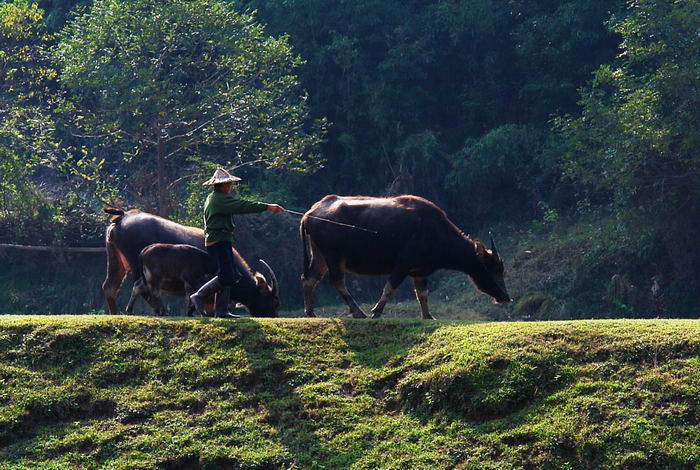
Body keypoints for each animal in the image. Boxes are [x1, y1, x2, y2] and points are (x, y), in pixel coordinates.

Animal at [104, 208, 278, 316]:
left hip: (115, 261)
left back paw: (116, 313)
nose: (273, 315)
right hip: (138, 266)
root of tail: (123, 216)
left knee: (110, 288)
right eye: (273, 299)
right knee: (143, 288)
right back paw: (158, 310)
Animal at [298, 195, 512, 320]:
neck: (434, 231)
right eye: (493, 268)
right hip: (333, 257)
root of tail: (310, 213)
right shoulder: (402, 265)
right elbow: (389, 288)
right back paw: (358, 312)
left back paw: (310, 312)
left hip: (320, 256)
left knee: (309, 279)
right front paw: (376, 311)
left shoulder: (419, 271)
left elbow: (422, 294)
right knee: (337, 281)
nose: (506, 297)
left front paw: (428, 316)